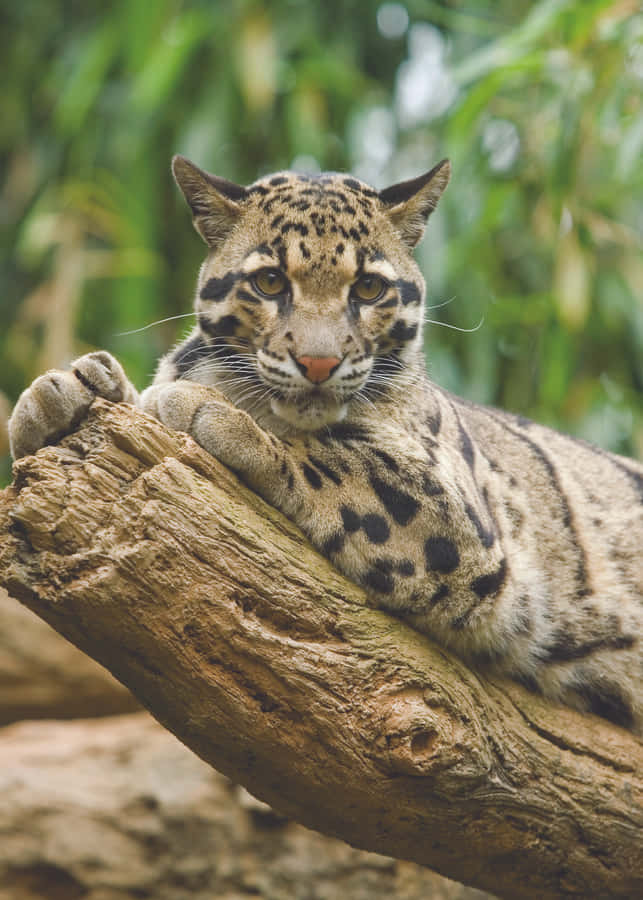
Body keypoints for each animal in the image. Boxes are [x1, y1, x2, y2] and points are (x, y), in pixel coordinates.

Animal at [8, 155, 643, 734]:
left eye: (369, 287)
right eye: (269, 281)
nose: (318, 362)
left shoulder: (470, 530)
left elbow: (333, 457)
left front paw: (204, 408)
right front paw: (68, 392)